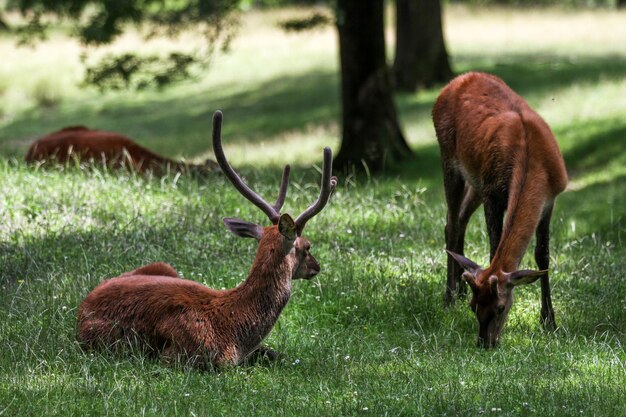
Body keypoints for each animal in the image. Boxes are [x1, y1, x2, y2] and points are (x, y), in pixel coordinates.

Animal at [76, 111, 338, 368]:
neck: (234, 327)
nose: (317, 266)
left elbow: (277, 354)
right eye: (306, 246)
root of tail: (83, 305)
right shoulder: (183, 354)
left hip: (164, 266)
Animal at [432, 72, 568, 348]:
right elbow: (494, 247)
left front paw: (549, 321)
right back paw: (450, 296)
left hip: (475, 180)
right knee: (451, 223)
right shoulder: (492, 192)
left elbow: (542, 256)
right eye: (475, 308)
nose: (485, 342)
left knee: (458, 219)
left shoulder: (549, 200)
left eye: (500, 307)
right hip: (449, 159)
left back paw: (459, 286)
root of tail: (457, 80)